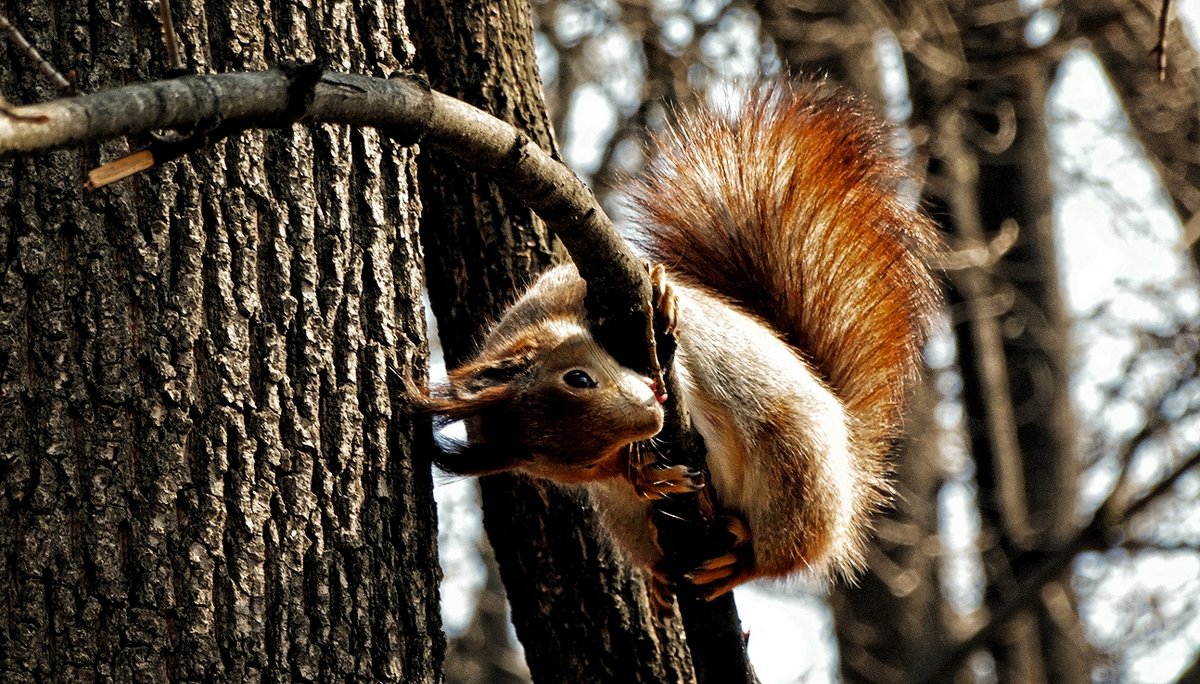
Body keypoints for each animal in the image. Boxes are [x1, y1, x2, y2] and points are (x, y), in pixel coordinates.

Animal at [417, 82, 940, 595]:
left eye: (579, 379)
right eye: (584, 466)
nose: (651, 412)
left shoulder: (570, 285)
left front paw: (664, 300)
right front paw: (641, 473)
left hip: (796, 466)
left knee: (784, 554)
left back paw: (740, 561)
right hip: (631, 520)